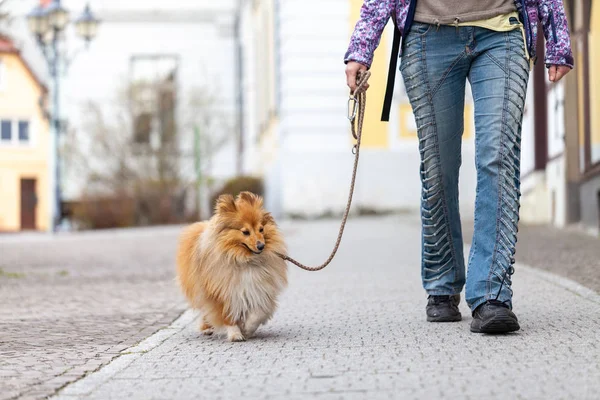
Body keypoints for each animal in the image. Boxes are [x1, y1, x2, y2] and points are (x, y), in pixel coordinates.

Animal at [176, 192, 288, 342]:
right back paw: (207, 328)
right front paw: (235, 334)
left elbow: (258, 313)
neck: (244, 260)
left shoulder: (259, 290)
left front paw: (247, 329)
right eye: (245, 232)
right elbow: (227, 316)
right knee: (205, 309)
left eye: (261, 229)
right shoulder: (222, 292)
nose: (261, 246)